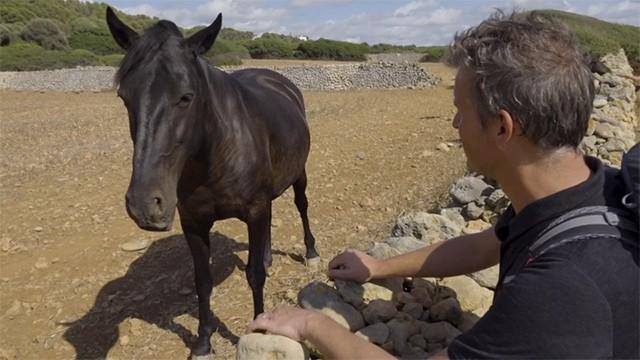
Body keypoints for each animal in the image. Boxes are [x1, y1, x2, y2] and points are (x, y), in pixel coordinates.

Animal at [107, 7, 322, 356]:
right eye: (124, 97)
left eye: (186, 97)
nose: (145, 205)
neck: (216, 152)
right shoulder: (194, 223)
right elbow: (203, 282)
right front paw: (203, 342)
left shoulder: (254, 209)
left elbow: (254, 276)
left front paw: (260, 329)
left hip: (298, 173)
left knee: (301, 205)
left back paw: (311, 252)